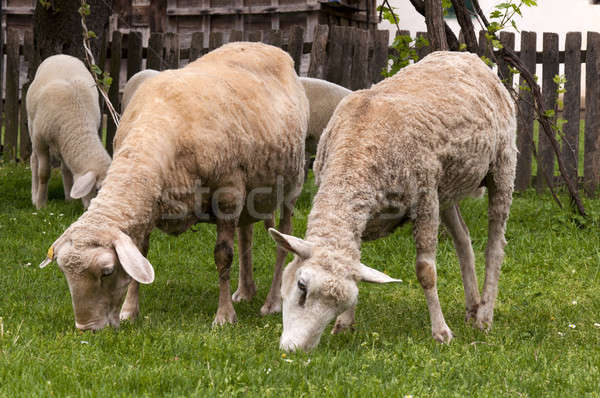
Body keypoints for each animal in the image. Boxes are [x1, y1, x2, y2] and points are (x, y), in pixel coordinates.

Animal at [26, 54, 112, 210]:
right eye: (97, 190)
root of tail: (61, 55)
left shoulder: (66, 140)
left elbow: (67, 169)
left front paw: (69, 200)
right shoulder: (40, 141)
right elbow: (44, 173)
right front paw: (41, 204)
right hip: (32, 125)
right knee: (34, 160)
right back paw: (34, 196)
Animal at [38, 42, 310, 332]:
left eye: (107, 272)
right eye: (65, 272)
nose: (86, 328)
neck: (156, 130)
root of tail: (269, 48)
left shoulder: (227, 194)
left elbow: (223, 256)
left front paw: (224, 316)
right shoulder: (150, 205)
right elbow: (141, 253)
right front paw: (129, 312)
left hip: (291, 186)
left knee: (283, 239)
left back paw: (271, 303)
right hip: (252, 191)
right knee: (246, 234)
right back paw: (245, 291)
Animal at [270, 50, 516, 352]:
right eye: (301, 287)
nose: (294, 351)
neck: (356, 152)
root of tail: (466, 56)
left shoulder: (424, 200)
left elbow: (426, 271)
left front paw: (441, 332)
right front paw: (345, 324)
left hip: (502, 166)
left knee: (495, 246)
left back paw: (484, 316)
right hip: (447, 188)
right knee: (463, 239)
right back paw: (472, 306)